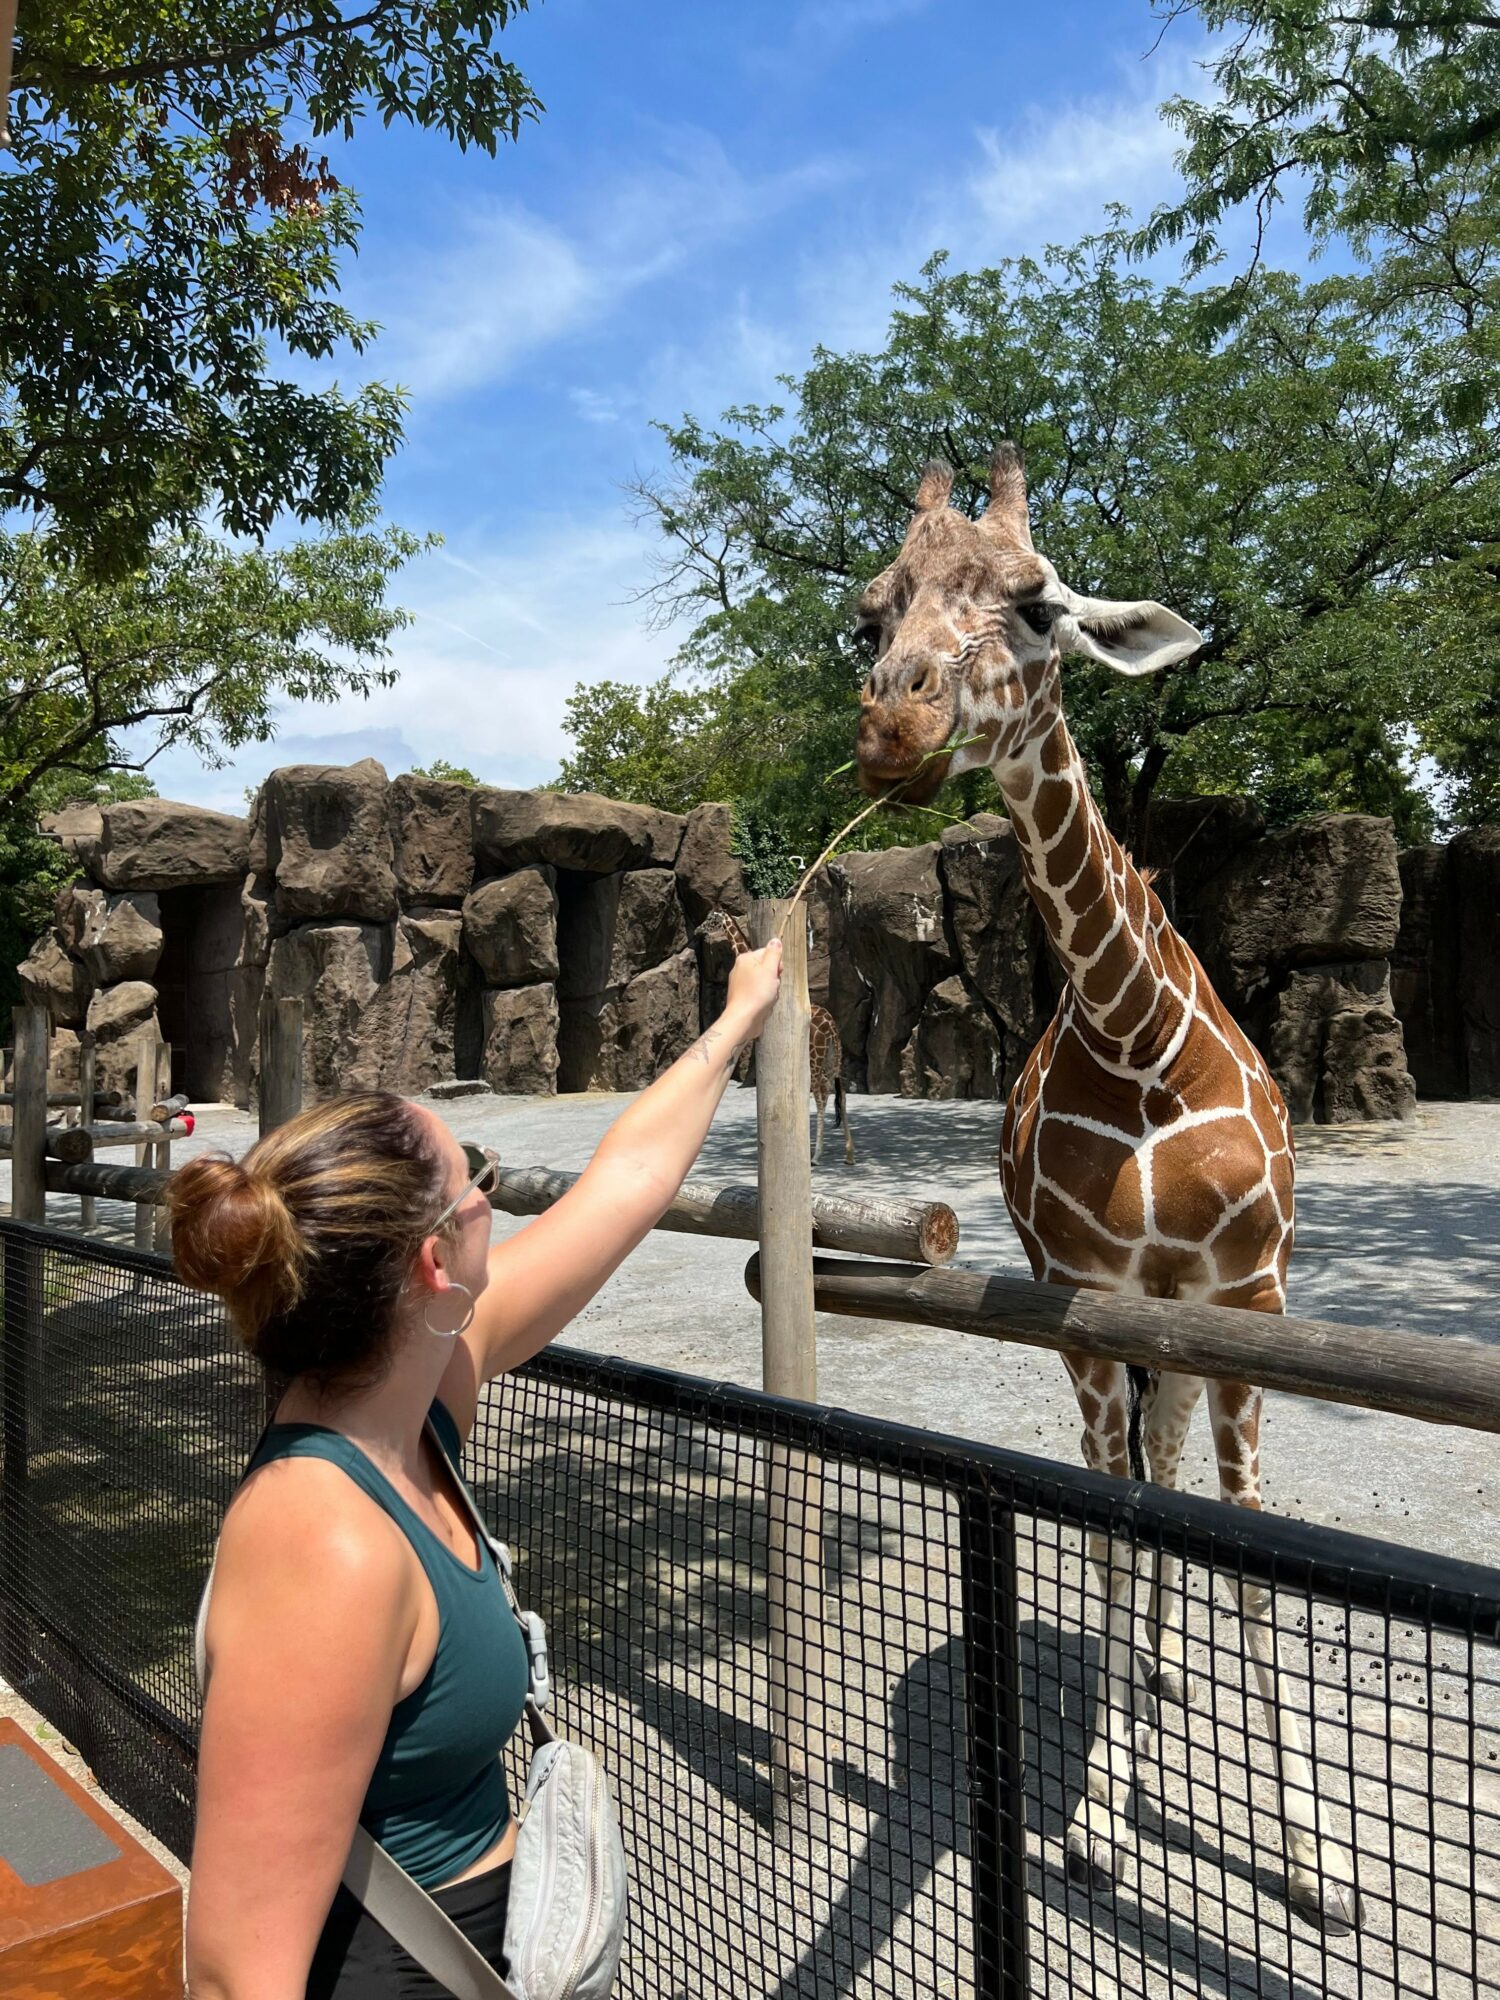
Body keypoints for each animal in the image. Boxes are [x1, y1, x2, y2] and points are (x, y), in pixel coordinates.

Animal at [701, 909, 855, 1165]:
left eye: (711, 918)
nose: (698, 930)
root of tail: (831, 1027)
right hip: (834, 1057)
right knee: (840, 1094)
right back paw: (849, 1154)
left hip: (816, 1058)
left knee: (822, 1095)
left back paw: (816, 1155)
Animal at [851, 444, 1360, 1932]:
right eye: (870, 613)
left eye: (1037, 603)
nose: (892, 724)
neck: (1141, 1043)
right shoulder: (1082, 1308)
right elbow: (1115, 1530)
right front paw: (1094, 1824)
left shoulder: (1247, 1298)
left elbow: (1246, 1548)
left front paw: (1312, 1861)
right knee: (1142, 1477)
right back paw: (1141, 1678)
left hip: (1194, 1327)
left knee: (1180, 1470)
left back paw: (1166, 1676)